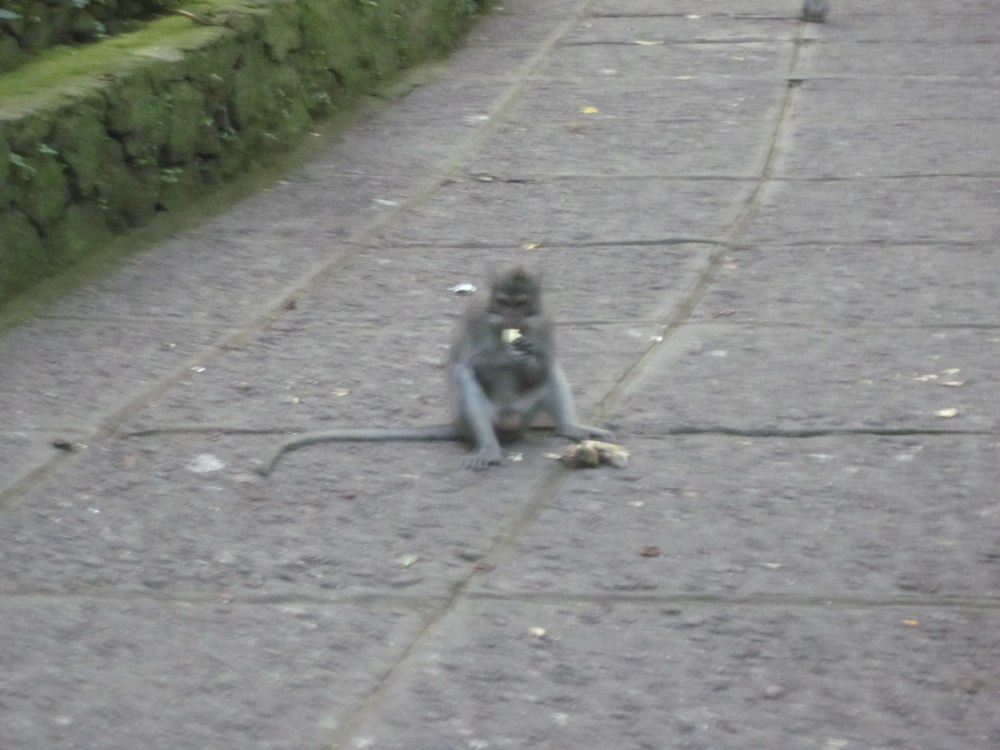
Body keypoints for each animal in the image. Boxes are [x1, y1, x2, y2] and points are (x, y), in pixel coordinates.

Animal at [256, 268, 613, 475]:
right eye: (503, 301)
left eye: (521, 303)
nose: (512, 319)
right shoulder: (478, 315)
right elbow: (471, 362)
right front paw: (507, 356)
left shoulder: (545, 319)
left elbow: (546, 362)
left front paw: (528, 357)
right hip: (474, 419)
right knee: (464, 377)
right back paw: (488, 448)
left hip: (525, 412)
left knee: (553, 371)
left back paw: (571, 429)